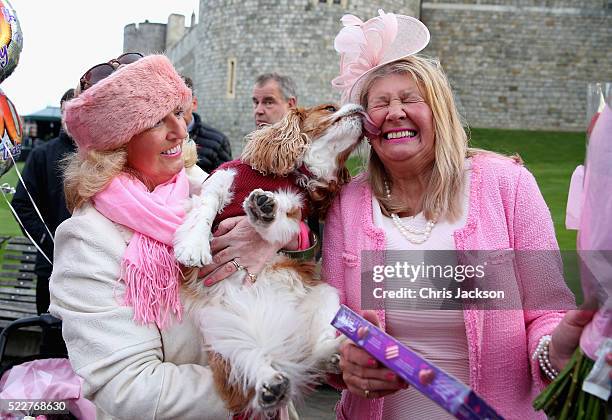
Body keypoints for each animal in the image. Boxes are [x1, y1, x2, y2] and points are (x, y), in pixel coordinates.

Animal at [172, 103, 364, 418]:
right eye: (330, 108)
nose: (360, 106)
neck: (297, 171)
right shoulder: (222, 180)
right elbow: (206, 208)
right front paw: (194, 245)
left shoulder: (295, 208)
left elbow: (281, 218)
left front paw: (264, 210)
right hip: (222, 331)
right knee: (249, 361)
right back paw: (271, 384)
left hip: (326, 297)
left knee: (312, 355)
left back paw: (334, 353)